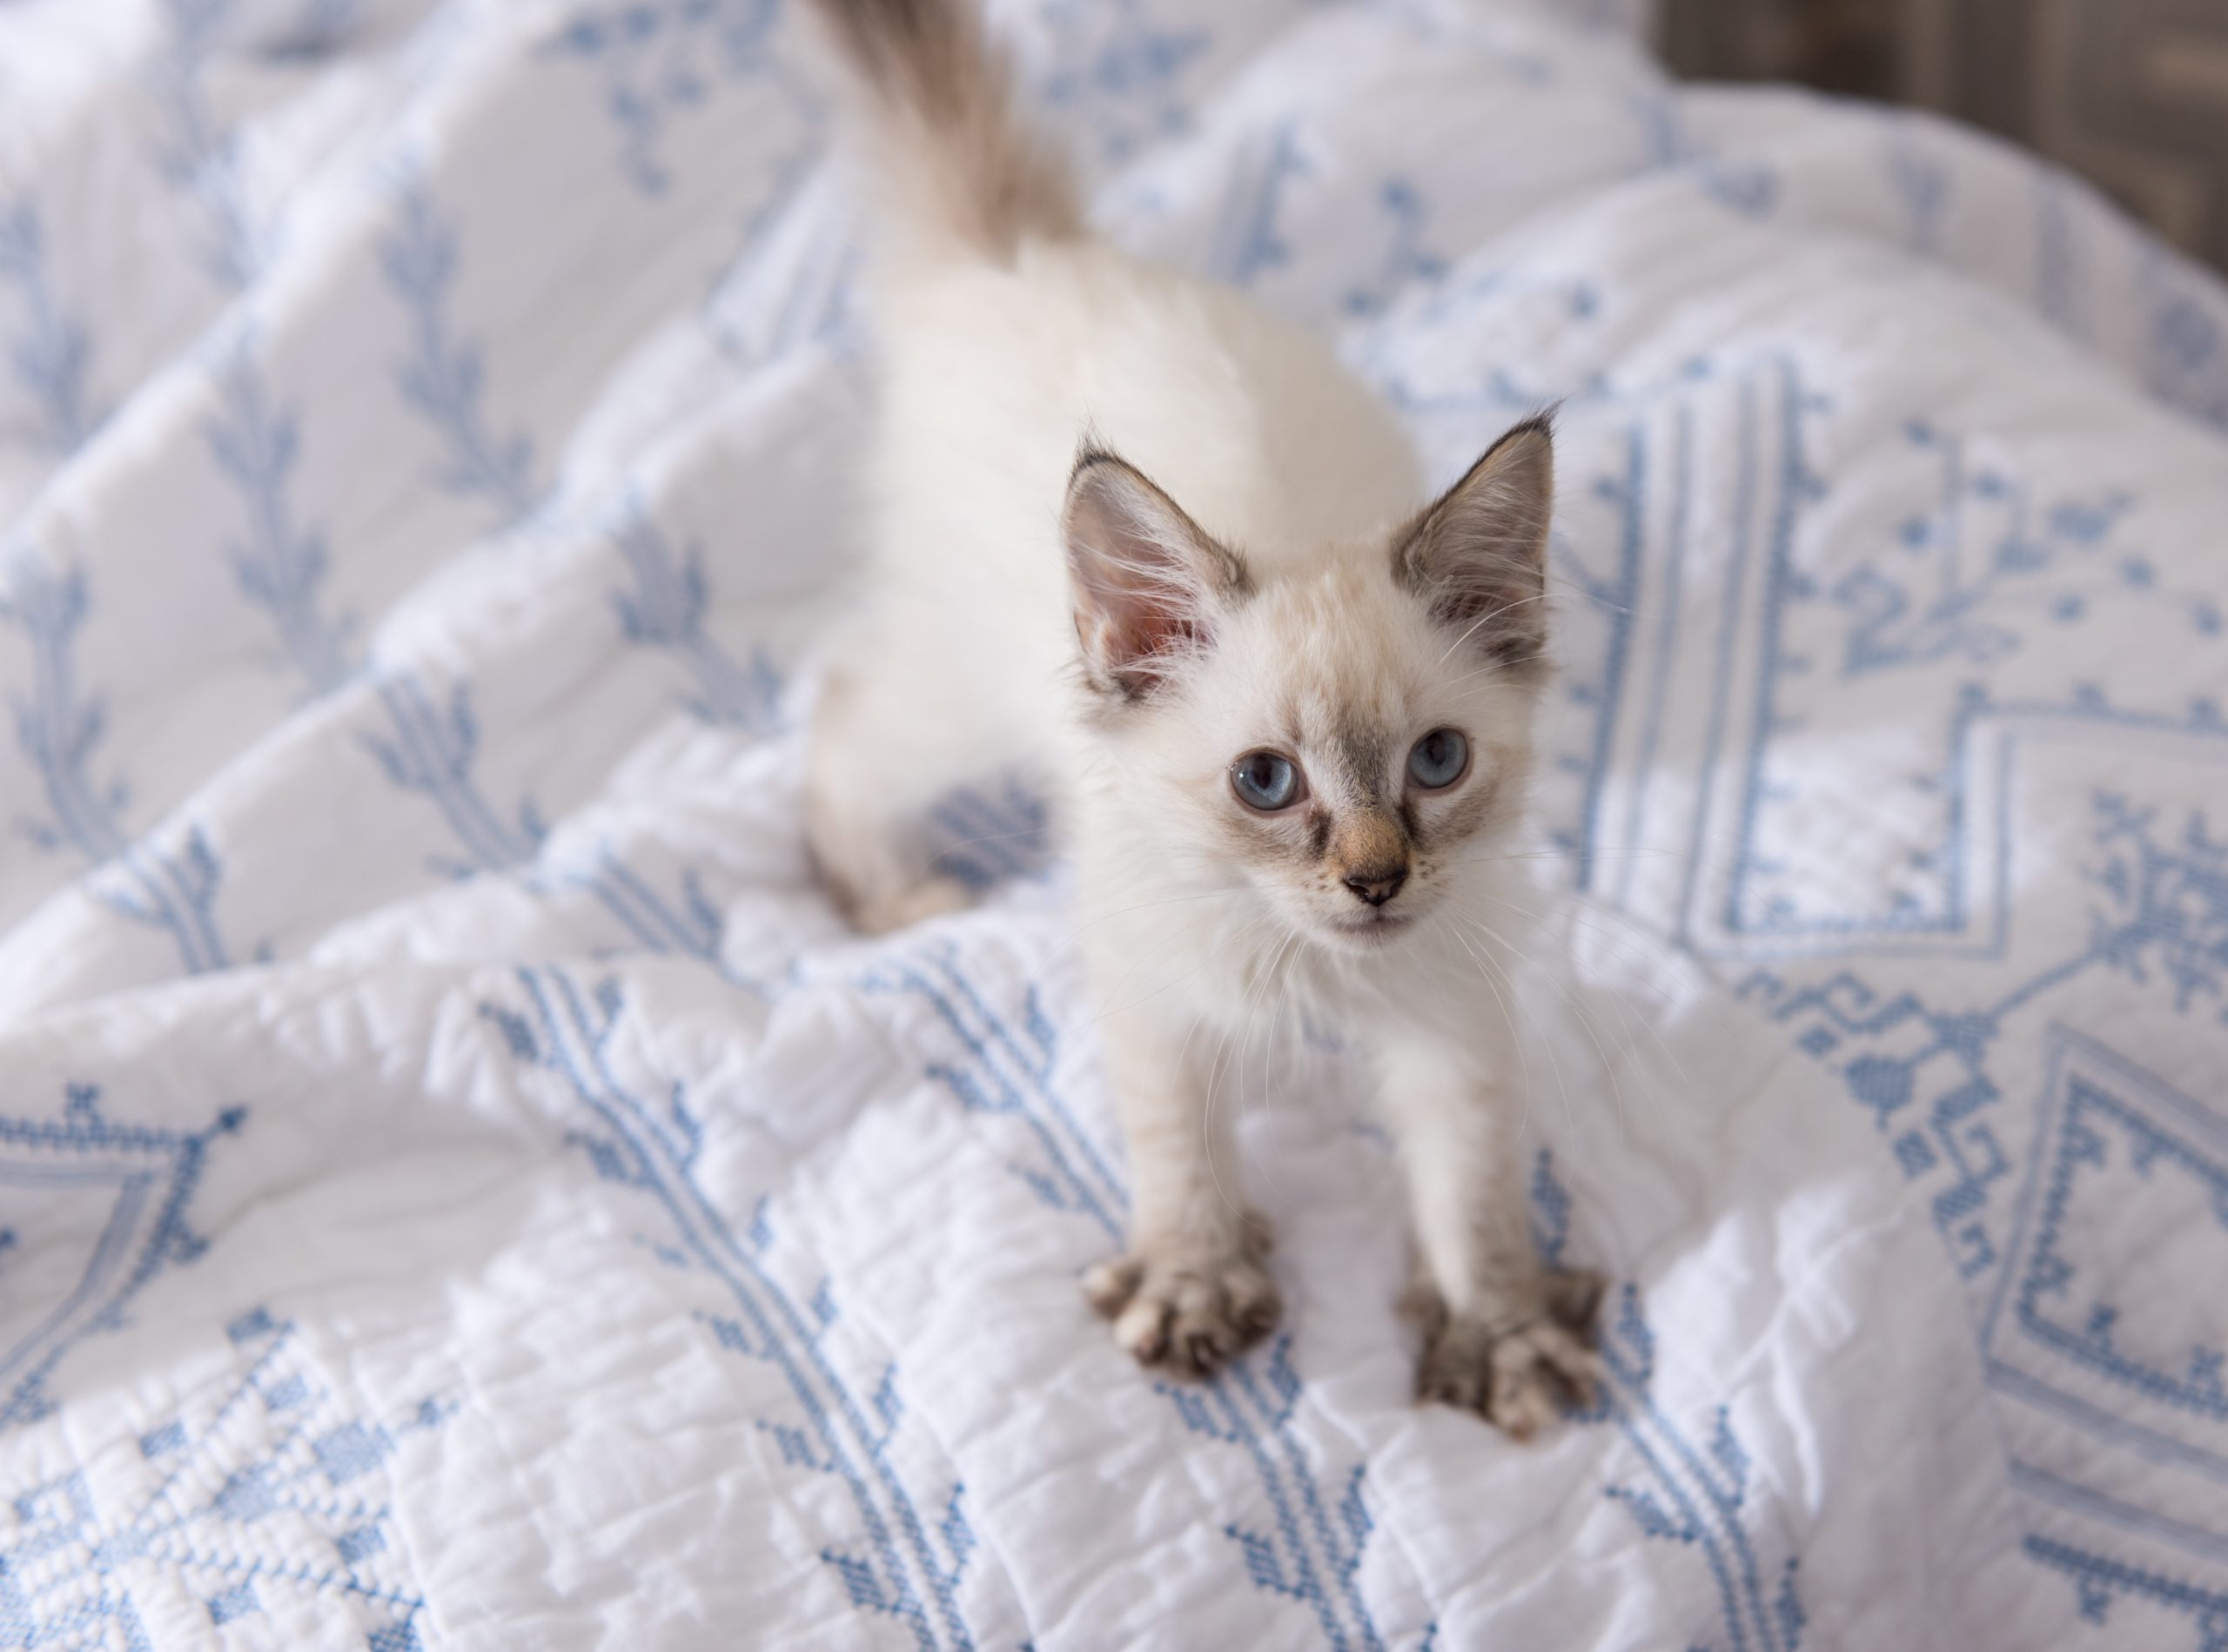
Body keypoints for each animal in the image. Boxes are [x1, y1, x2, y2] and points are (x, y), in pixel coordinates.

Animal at [802, 0, 1604, 1427]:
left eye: (1437, 762)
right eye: (1266, 783)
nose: (1377, 881)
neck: (1308, 964)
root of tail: (1032, 258)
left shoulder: (1454, 1017)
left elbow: (1473, 1193)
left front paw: (1499, 1335)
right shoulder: (1150, 988)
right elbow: (1181, 1152)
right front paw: (1191, 1284)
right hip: (954, 698)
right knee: (845, 711)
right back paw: (888, 897)